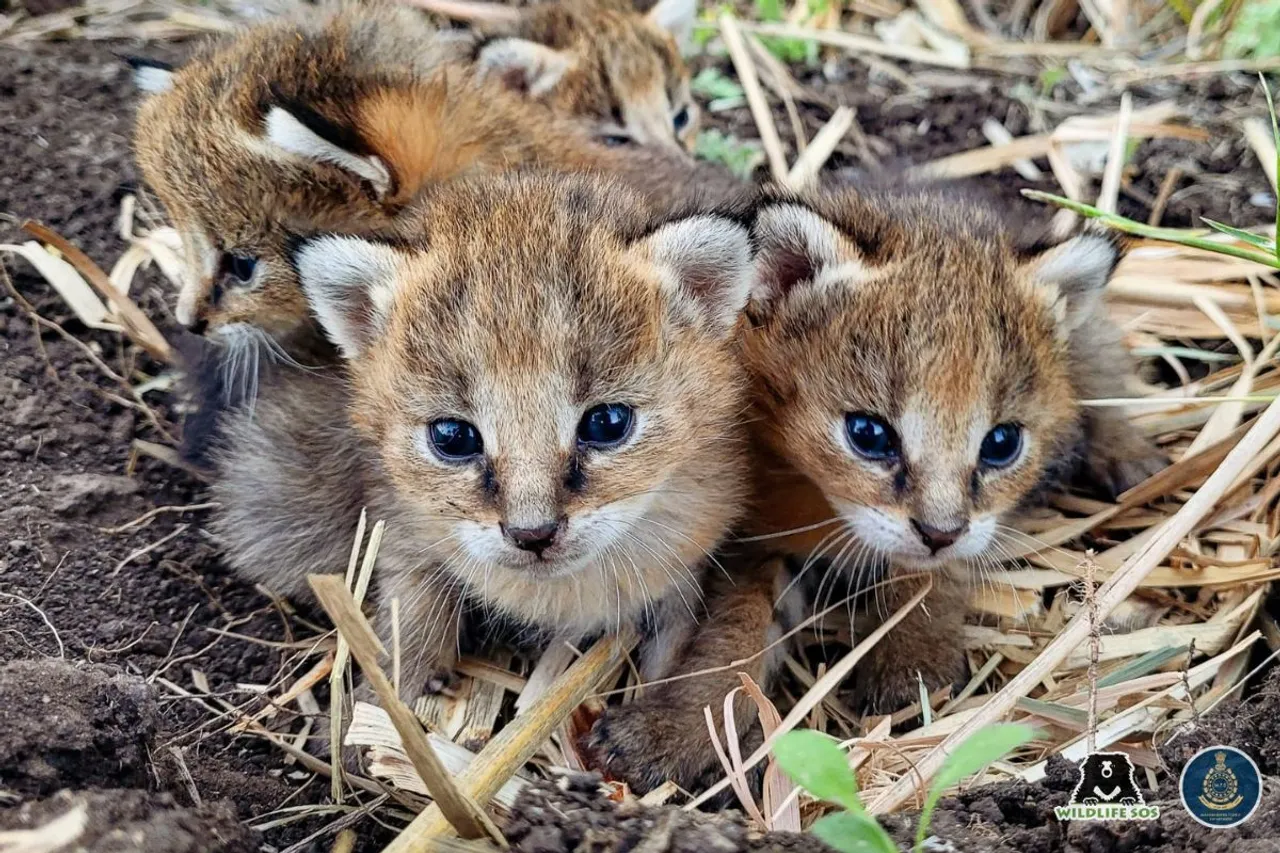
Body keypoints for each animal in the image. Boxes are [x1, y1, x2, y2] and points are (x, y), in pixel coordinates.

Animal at [206, 169, 752, 701]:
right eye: (452, 436)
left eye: (607, 423)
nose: (533, 535)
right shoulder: (397, 522)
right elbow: (407, 611)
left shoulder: (687, 568)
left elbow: (676, 652)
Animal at [586, 183, 1167, 794]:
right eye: (868, 434)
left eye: (1002, 443)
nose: (939, 532)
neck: (823, 506)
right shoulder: (744, 540)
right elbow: (733, 633)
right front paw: (673, 731)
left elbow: (930, 575)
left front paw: (913, 665)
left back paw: (1133, 458)